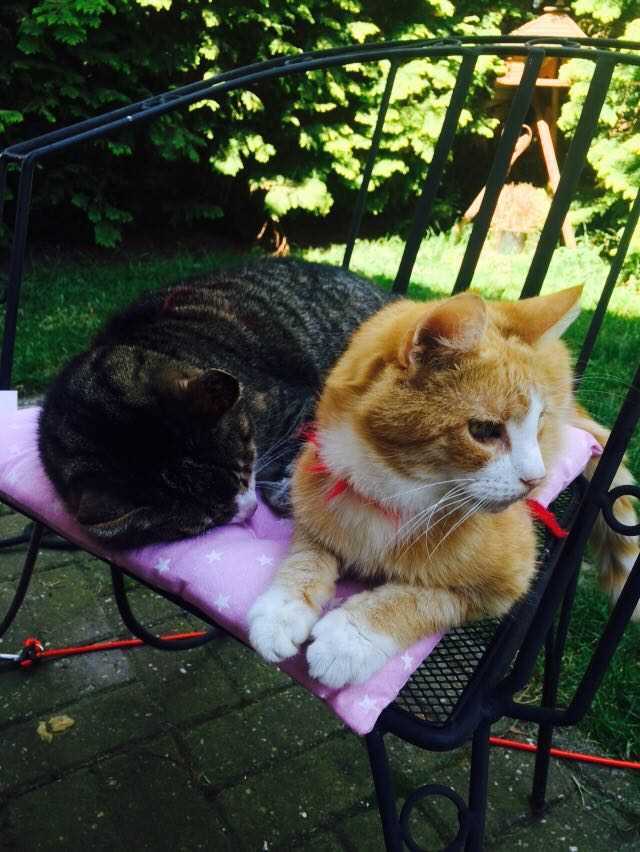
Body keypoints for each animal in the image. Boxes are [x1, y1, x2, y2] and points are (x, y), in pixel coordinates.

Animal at [248, 286, 640, 688]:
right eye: (484, 430)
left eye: (538, 423)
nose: (536, 479)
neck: (393, 495)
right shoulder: (312, 499)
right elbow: (308, 552)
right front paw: (283, 609)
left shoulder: (510, 586)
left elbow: (430, 599)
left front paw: (351, 638)